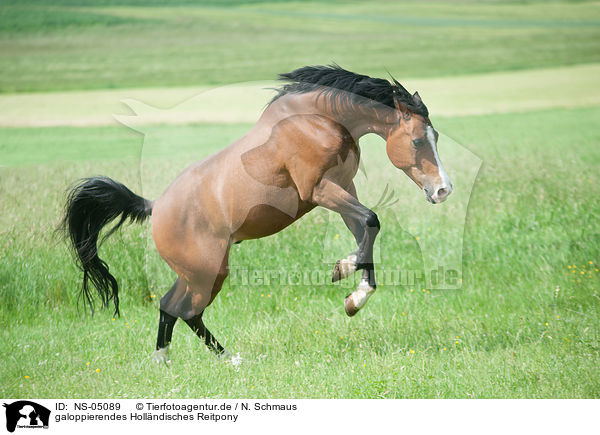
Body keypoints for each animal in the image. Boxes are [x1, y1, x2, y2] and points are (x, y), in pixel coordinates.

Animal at [61, 65, 452, 364]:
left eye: (434, 136)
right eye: (418, 141)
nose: (443, 190)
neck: (319, 120)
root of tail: (154, 207)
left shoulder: (343, 188)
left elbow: (364, 230)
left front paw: (349, 284)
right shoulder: (319, 190)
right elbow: (371, 221)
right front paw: (352, 292)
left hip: (198, 272)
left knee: (171, 307)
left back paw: (171, 361)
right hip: (208, 271)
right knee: (187, 311)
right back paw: (224, 360)